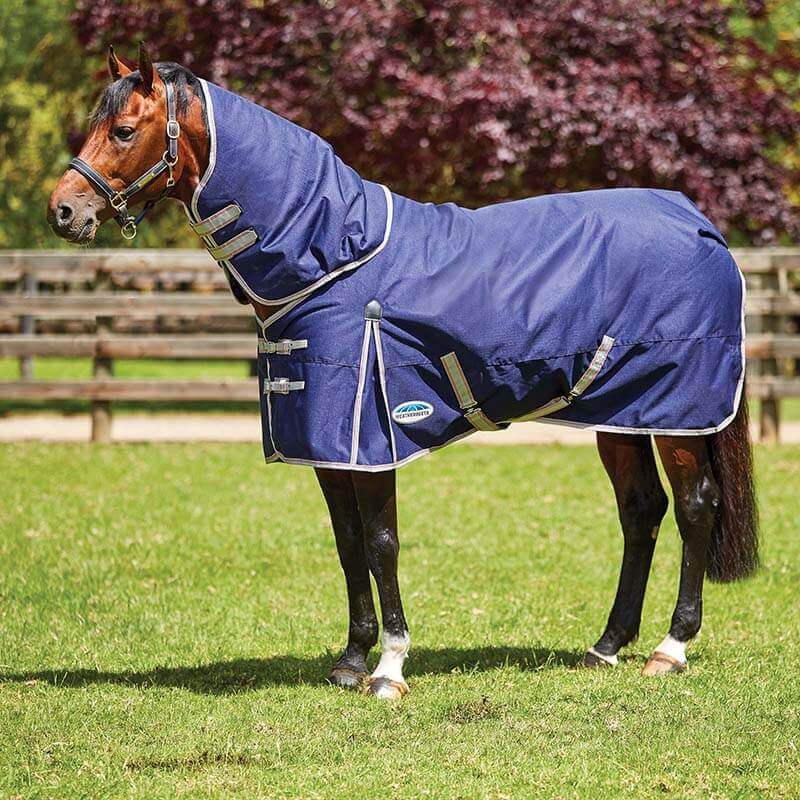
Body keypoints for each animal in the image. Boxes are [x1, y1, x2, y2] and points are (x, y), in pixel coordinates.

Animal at [48, 44, 758, 700]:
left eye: (123, 130)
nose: (63, 211)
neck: (335, 257)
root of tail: (699, 224)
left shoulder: (372, 436)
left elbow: (382, 542)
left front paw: (389, 668)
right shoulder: (328, 444)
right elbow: (347, 544)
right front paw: (350, 661)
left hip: (679, 414)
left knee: (695, 506)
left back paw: (670, 648)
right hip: (621, 412)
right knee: (641, 509)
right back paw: (606, 646)